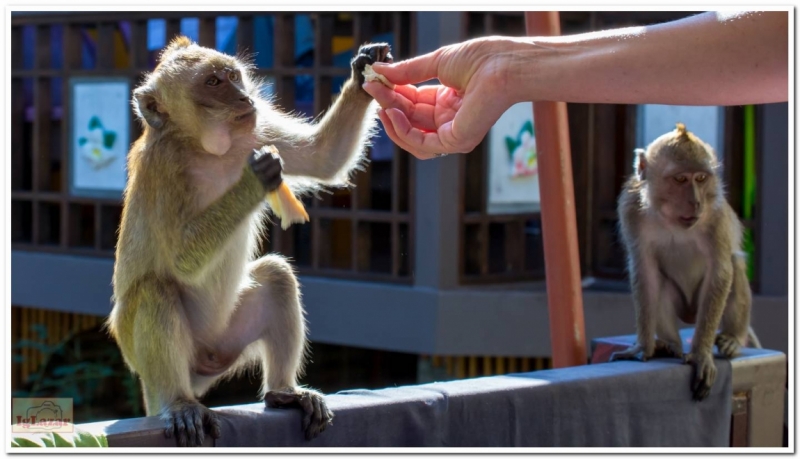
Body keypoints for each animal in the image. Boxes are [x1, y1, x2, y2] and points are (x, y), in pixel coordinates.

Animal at [612, 124, 756, 400]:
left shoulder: (716, 213)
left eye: (700, 178)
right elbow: (645, 271)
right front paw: (643, 346)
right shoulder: (630, 209)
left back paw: (733, 338)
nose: (696, 201)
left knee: (734, 265)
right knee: (660, 284)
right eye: (680, 179)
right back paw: (670, 345)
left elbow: (720, 271)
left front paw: (701, 355)